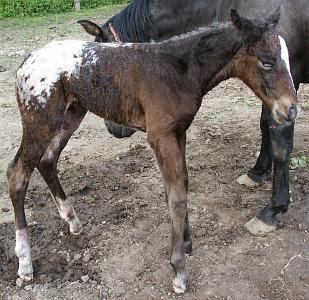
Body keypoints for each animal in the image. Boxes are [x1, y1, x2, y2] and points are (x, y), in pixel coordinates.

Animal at [80, 0, 308, 234]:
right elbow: (264, 126)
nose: (112, 128)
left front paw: (273, 210)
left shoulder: (290, 81)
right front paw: (257, 172)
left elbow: (281, 144)